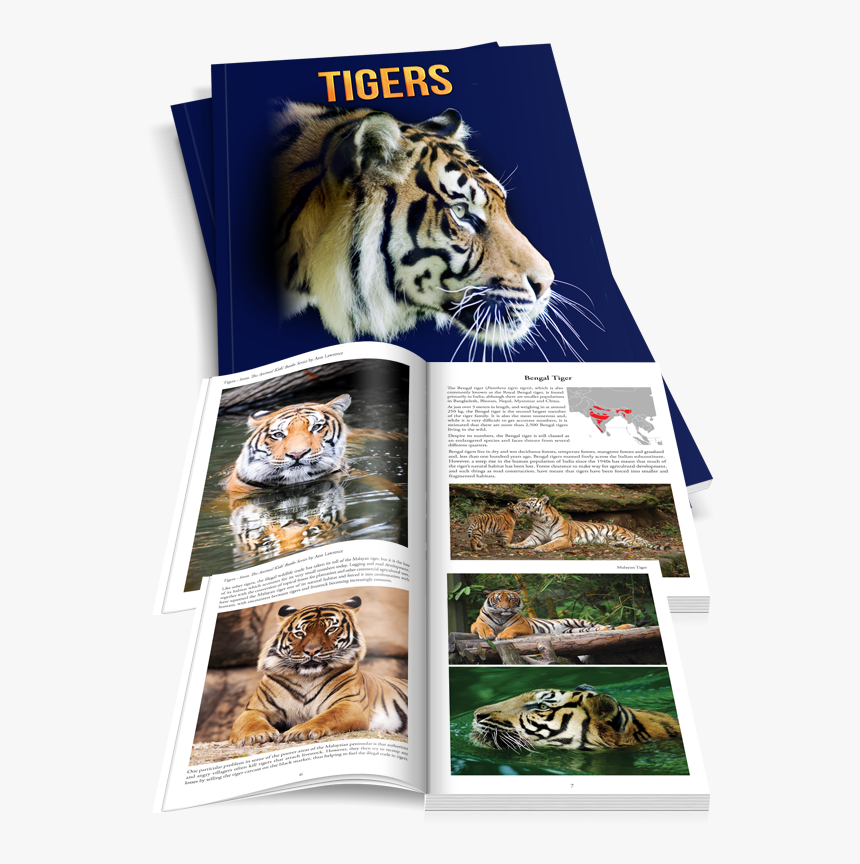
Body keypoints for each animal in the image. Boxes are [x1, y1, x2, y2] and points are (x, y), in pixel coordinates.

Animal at [229, 596, 408, 746]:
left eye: (331, 629)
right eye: (300, 633)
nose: (311, 651)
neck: (306, 678)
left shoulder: (350, 703)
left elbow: (325, 717)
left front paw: (299, 731)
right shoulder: (254, 709)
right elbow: (250, 722)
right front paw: (256, 735)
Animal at [471, 589, 634, 640]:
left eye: (511, 599)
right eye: (498, 599)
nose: (505, 608)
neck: (500, 616)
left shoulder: (522, 626)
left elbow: (510, 628)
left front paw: (503, 636)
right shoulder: (474, 624)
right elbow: (481, 625)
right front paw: (487, 635)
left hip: (578, 621)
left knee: (600, 625)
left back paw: (626, 625)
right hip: (574, 630)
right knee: (597, 629)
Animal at [508, 496, 670, 552]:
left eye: (530, 499)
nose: (519, 500)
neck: (540, 519)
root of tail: (626, 528)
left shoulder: (562, 539)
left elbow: (550, 544)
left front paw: (541, 548)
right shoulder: (535, 537)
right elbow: (524, 541)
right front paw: (515, 545)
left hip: (616, 533)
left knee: (638, 543)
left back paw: (633, 546)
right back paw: (616, 545)